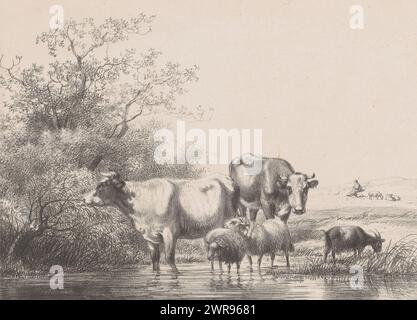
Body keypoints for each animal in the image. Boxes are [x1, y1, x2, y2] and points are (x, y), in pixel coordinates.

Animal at [83, 172, 237, 272]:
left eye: (101, 186)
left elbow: (169, 258)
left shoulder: (170, 232)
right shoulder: (150, 237)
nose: (84, 198)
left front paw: (176, 275)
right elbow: (155, 260)